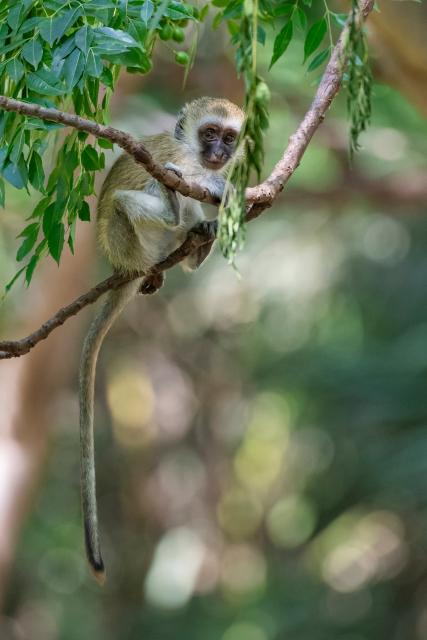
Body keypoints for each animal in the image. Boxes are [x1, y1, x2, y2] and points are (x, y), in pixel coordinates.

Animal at [79, 97, 245, 584]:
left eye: (229, 137)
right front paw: (218, 189)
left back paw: (196, 245)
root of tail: (126, 267)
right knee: (134, 201)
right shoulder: (182, 159)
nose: (219, 154)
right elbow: (185, 176)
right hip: (128, 240)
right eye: (210, 133)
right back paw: (175, 213)